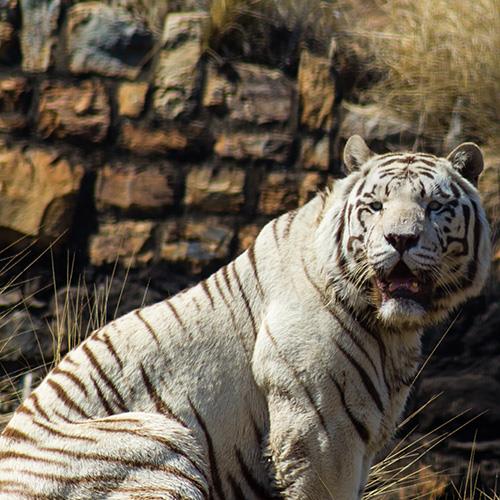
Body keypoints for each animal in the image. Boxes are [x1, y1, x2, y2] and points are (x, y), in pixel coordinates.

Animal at [0, 135, 491, 499]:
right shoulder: (320, 431)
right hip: (159, 436)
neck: (392, 330)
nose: (401, 239)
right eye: (375, 207)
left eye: (435, 207)